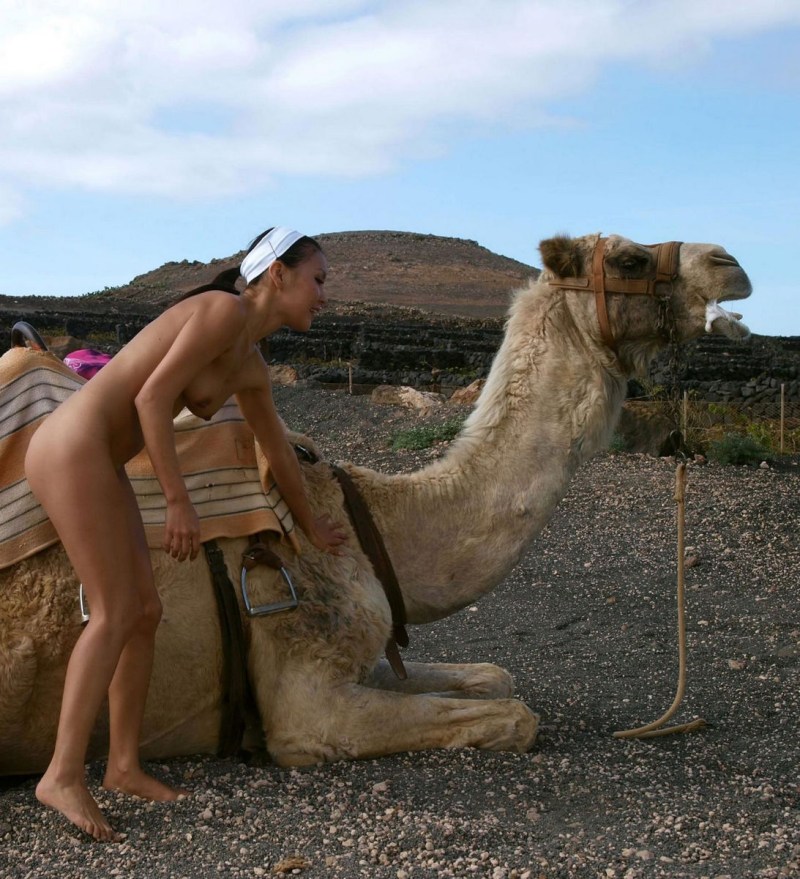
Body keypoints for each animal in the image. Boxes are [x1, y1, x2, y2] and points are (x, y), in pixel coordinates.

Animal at [0, 234, 752, 775]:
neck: (369, 523)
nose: (732, 264)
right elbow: (517, 715)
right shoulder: (306, 705)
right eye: (629, 256)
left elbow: (493, 673)